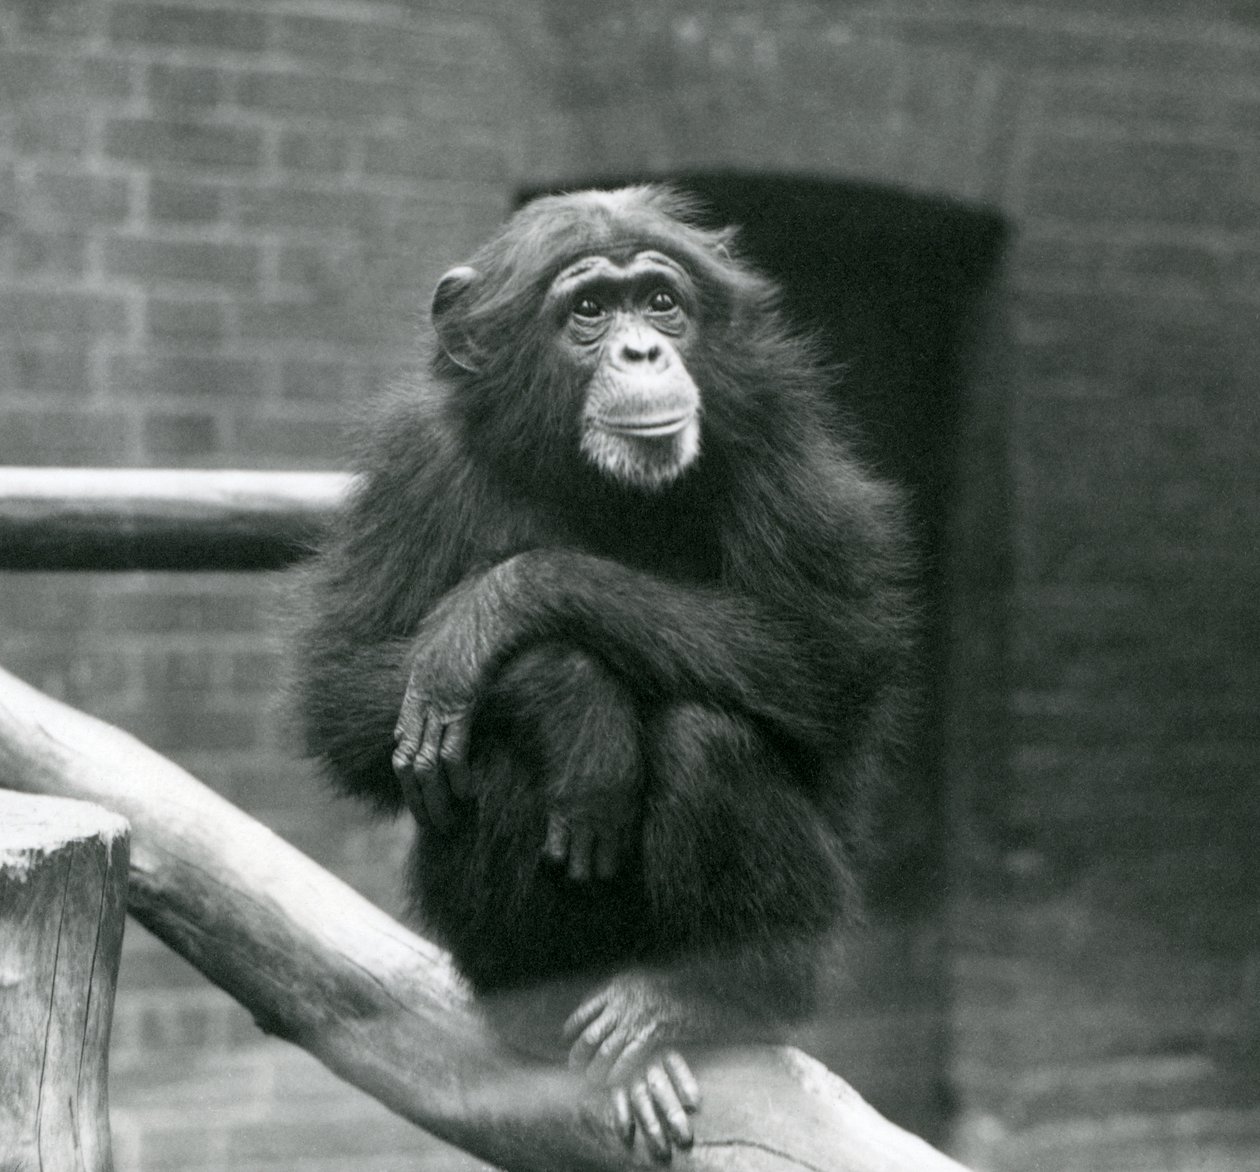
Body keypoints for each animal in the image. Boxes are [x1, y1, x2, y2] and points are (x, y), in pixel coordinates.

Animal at [299, 187, 922, 1154]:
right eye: (589, 310)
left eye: (660, 302)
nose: (642, 350)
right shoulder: (414, 458)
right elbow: (340, 682)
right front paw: (568, 695)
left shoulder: (779, 425)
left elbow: (825, 648)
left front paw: (500, 606)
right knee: (489, 750)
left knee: (707, 737)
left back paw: (694, 1000)